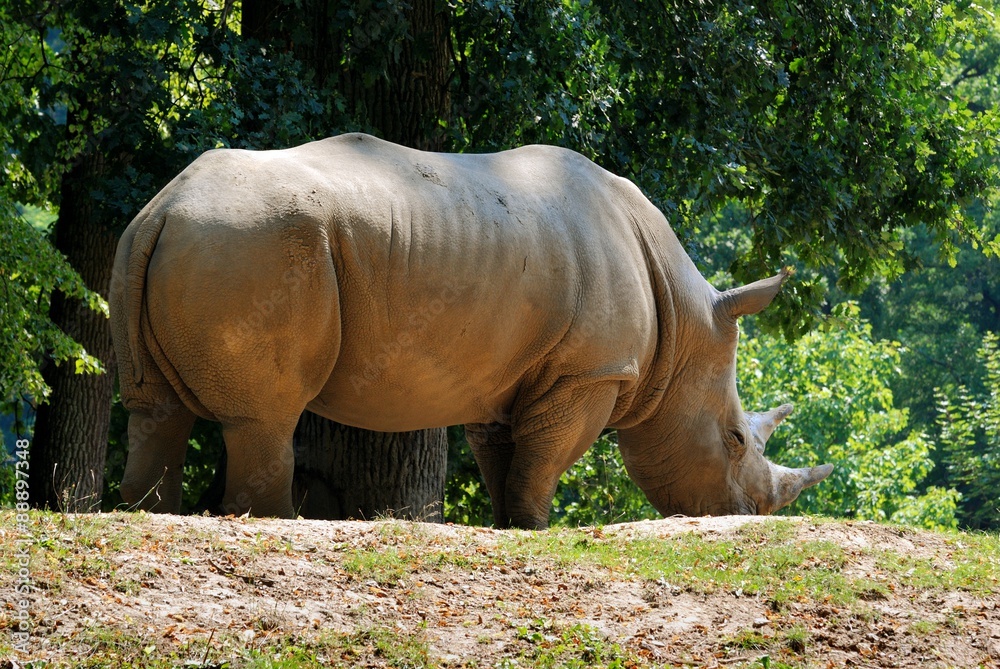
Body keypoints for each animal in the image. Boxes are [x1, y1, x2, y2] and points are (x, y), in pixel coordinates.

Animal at [110, 133, 832, 529]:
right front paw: (537, 529)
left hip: (172, 242)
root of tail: (164, 206)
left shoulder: (508, 374)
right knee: (264, 416)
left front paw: (512, 526)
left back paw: (147, 512)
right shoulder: (592, 370)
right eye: (735, 440)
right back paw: (278, 524)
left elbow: (509, 460)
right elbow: (546, 459)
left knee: (156, 409)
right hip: (254, 243)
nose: (746, 517)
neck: (682, 323)